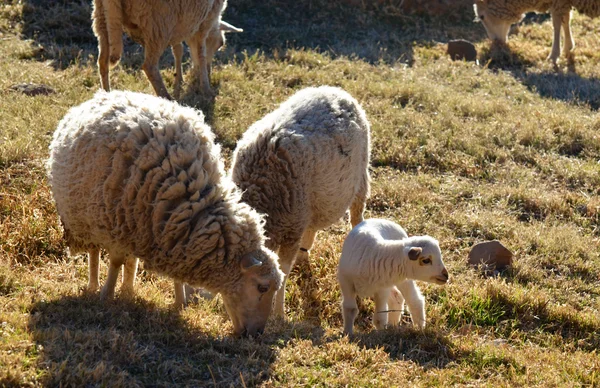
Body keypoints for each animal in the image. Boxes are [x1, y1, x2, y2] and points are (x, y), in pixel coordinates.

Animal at [47, 90, 284, 336]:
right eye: (262, 287)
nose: (256, 334)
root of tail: (105, 94)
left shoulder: (164, 231)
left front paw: (179, 302)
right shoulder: (117, 226)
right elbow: (114, 262)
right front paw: (106, 295)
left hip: (134, 226)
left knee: (131, 260)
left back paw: (128, 289)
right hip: (87, 217)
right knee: (94, 253)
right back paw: (94, 285)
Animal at [91, 0, 241, 100]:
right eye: (220, 44)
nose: (210, 72)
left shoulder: (179, 25)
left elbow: (178, 49)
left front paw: (179, 79)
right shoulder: (205, 21)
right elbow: (201, 54)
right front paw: (206, 88)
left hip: (101, 18)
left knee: (102, 61)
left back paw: (106, 96)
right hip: (159, 23)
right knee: (149, 67)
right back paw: (167, 97)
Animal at [230, 85, 370, 318]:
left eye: (260, 288)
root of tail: (336, 90)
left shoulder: (291, 229)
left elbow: (283, 271)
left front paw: (279, 313)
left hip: (360, 179)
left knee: (356, 216)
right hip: (311, 203)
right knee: (312, 225)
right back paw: (304, 256)